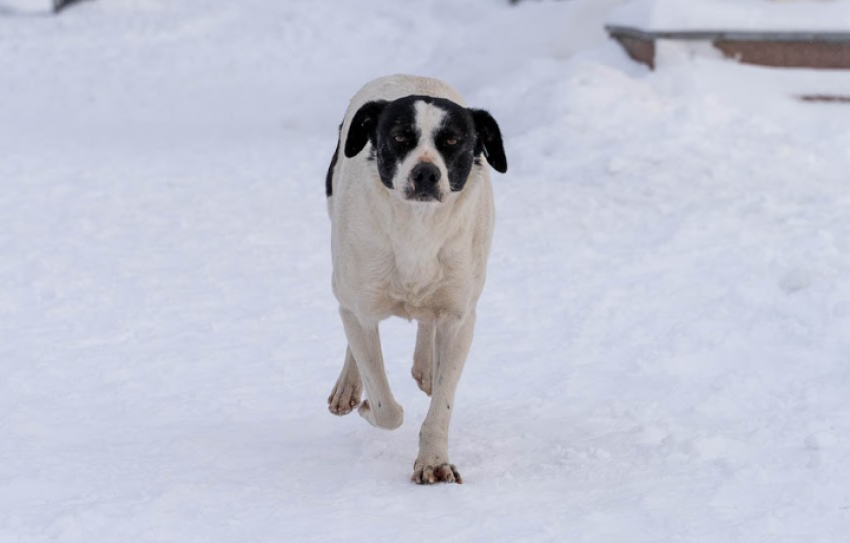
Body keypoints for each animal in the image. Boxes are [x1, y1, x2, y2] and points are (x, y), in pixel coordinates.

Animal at [322, 73, 504, 484]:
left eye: (452, 141)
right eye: (399, 137)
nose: (426, 173)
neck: (417, 229)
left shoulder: (459, 318)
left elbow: (443, 405)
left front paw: (434, 462)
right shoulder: (359, 305)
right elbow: (386, 408)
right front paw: (367, 406)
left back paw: (425, 366)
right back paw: (349, 387)